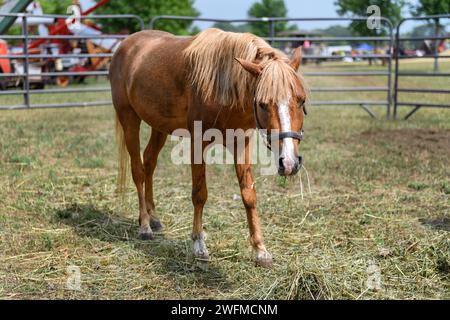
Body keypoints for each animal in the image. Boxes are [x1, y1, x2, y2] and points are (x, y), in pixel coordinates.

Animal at [109, 27, 308, 268]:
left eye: (301, 100)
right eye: (262, 104)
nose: (289, 163)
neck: (222, 85)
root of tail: (125, 44)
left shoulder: (241, 143)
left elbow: (249, 195)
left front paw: (260, 250)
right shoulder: (198, 142)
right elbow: (199, 194)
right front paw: (198, 245)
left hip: (159, 126)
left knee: (149, 162)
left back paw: (154, 218)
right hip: (128, 118)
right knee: (138, 170)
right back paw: (145, 225)